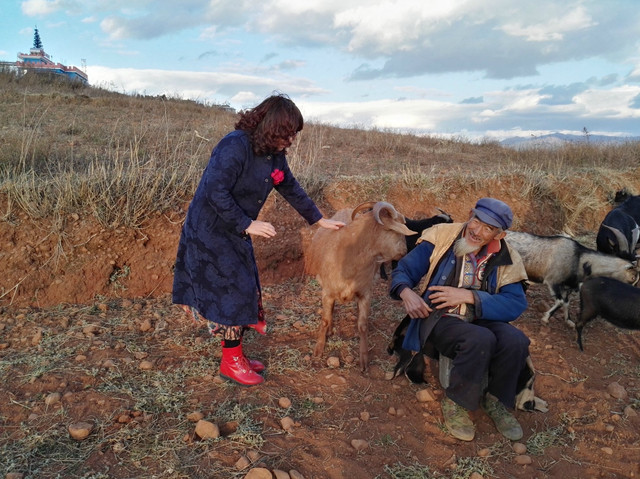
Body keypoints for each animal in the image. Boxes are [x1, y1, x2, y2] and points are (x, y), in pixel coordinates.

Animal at [304, 202, 416, 372]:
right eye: (398, 228)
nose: (404, 252)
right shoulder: (327, 293)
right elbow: (324, 320)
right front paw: (318, 350)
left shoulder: (365, 294)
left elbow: (362, 325)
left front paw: (364, 360)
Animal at [508, 232, 636, 326]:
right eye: (633, 278)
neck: (578, 258)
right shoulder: (552, 281)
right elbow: (560, 301)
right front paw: (545, 318)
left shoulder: (566, 287)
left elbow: (566, 302)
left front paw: (569, 321)